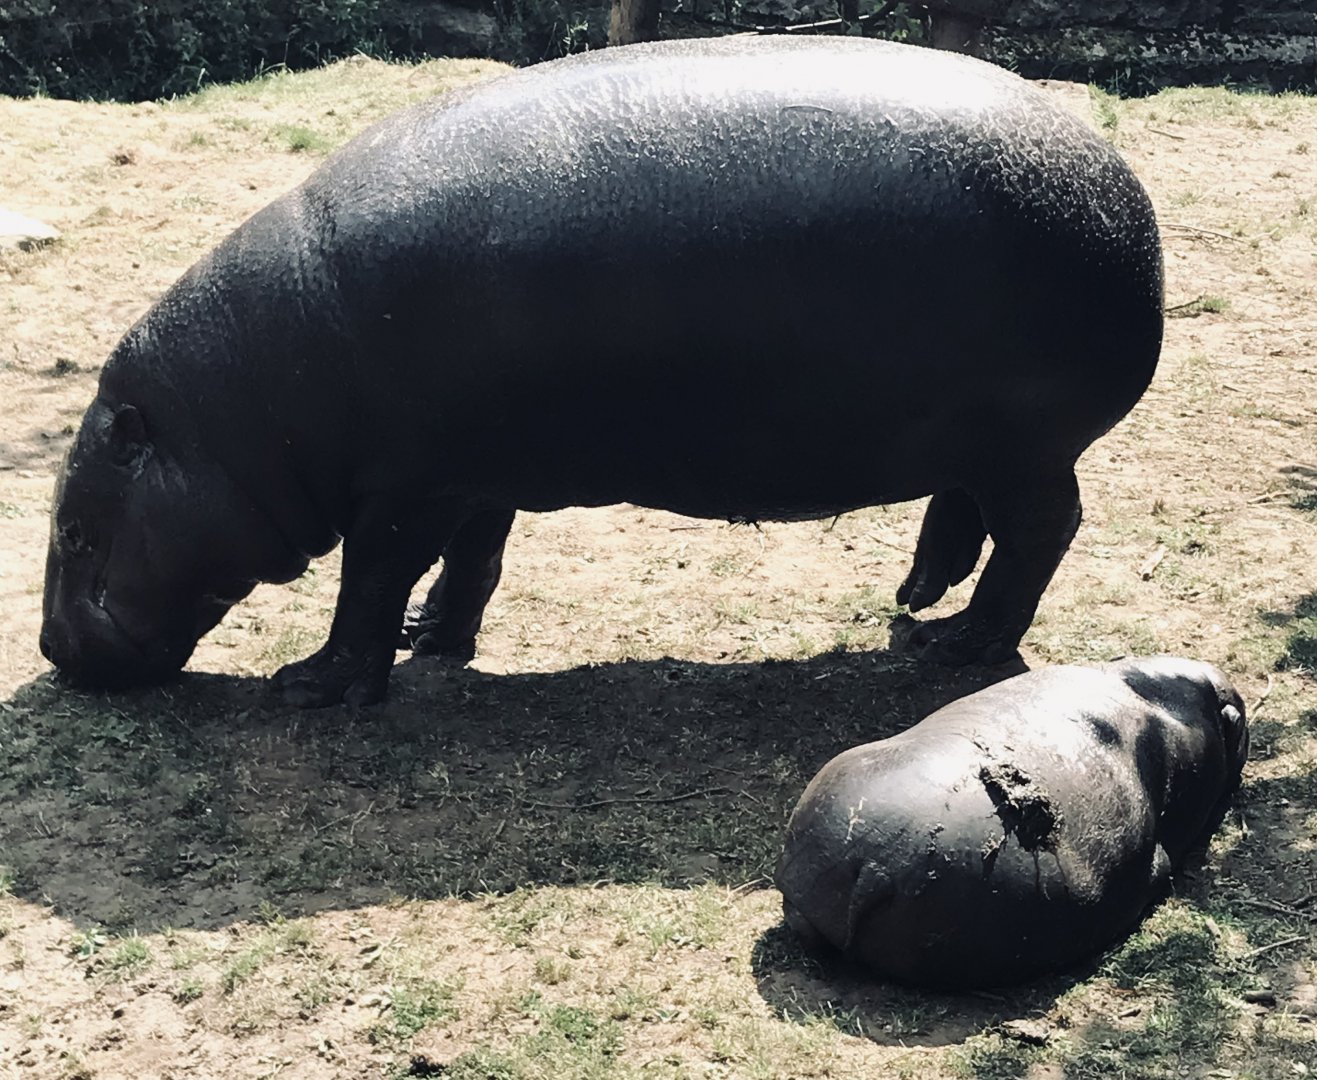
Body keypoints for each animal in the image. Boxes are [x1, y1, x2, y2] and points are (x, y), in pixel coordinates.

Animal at [40, 36, 1164, 707]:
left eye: (73, 527)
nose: (50, 652)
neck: (238, 415)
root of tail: (1132, 207)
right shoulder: (471, 470)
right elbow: (471, 560)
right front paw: (430, 636)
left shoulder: (404, 488)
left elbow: (369, 580)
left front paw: (310, 684)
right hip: (977, 434)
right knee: (962, 508)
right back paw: (914, 598)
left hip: (1026, 447)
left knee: (1039, 532)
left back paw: (956, 646)